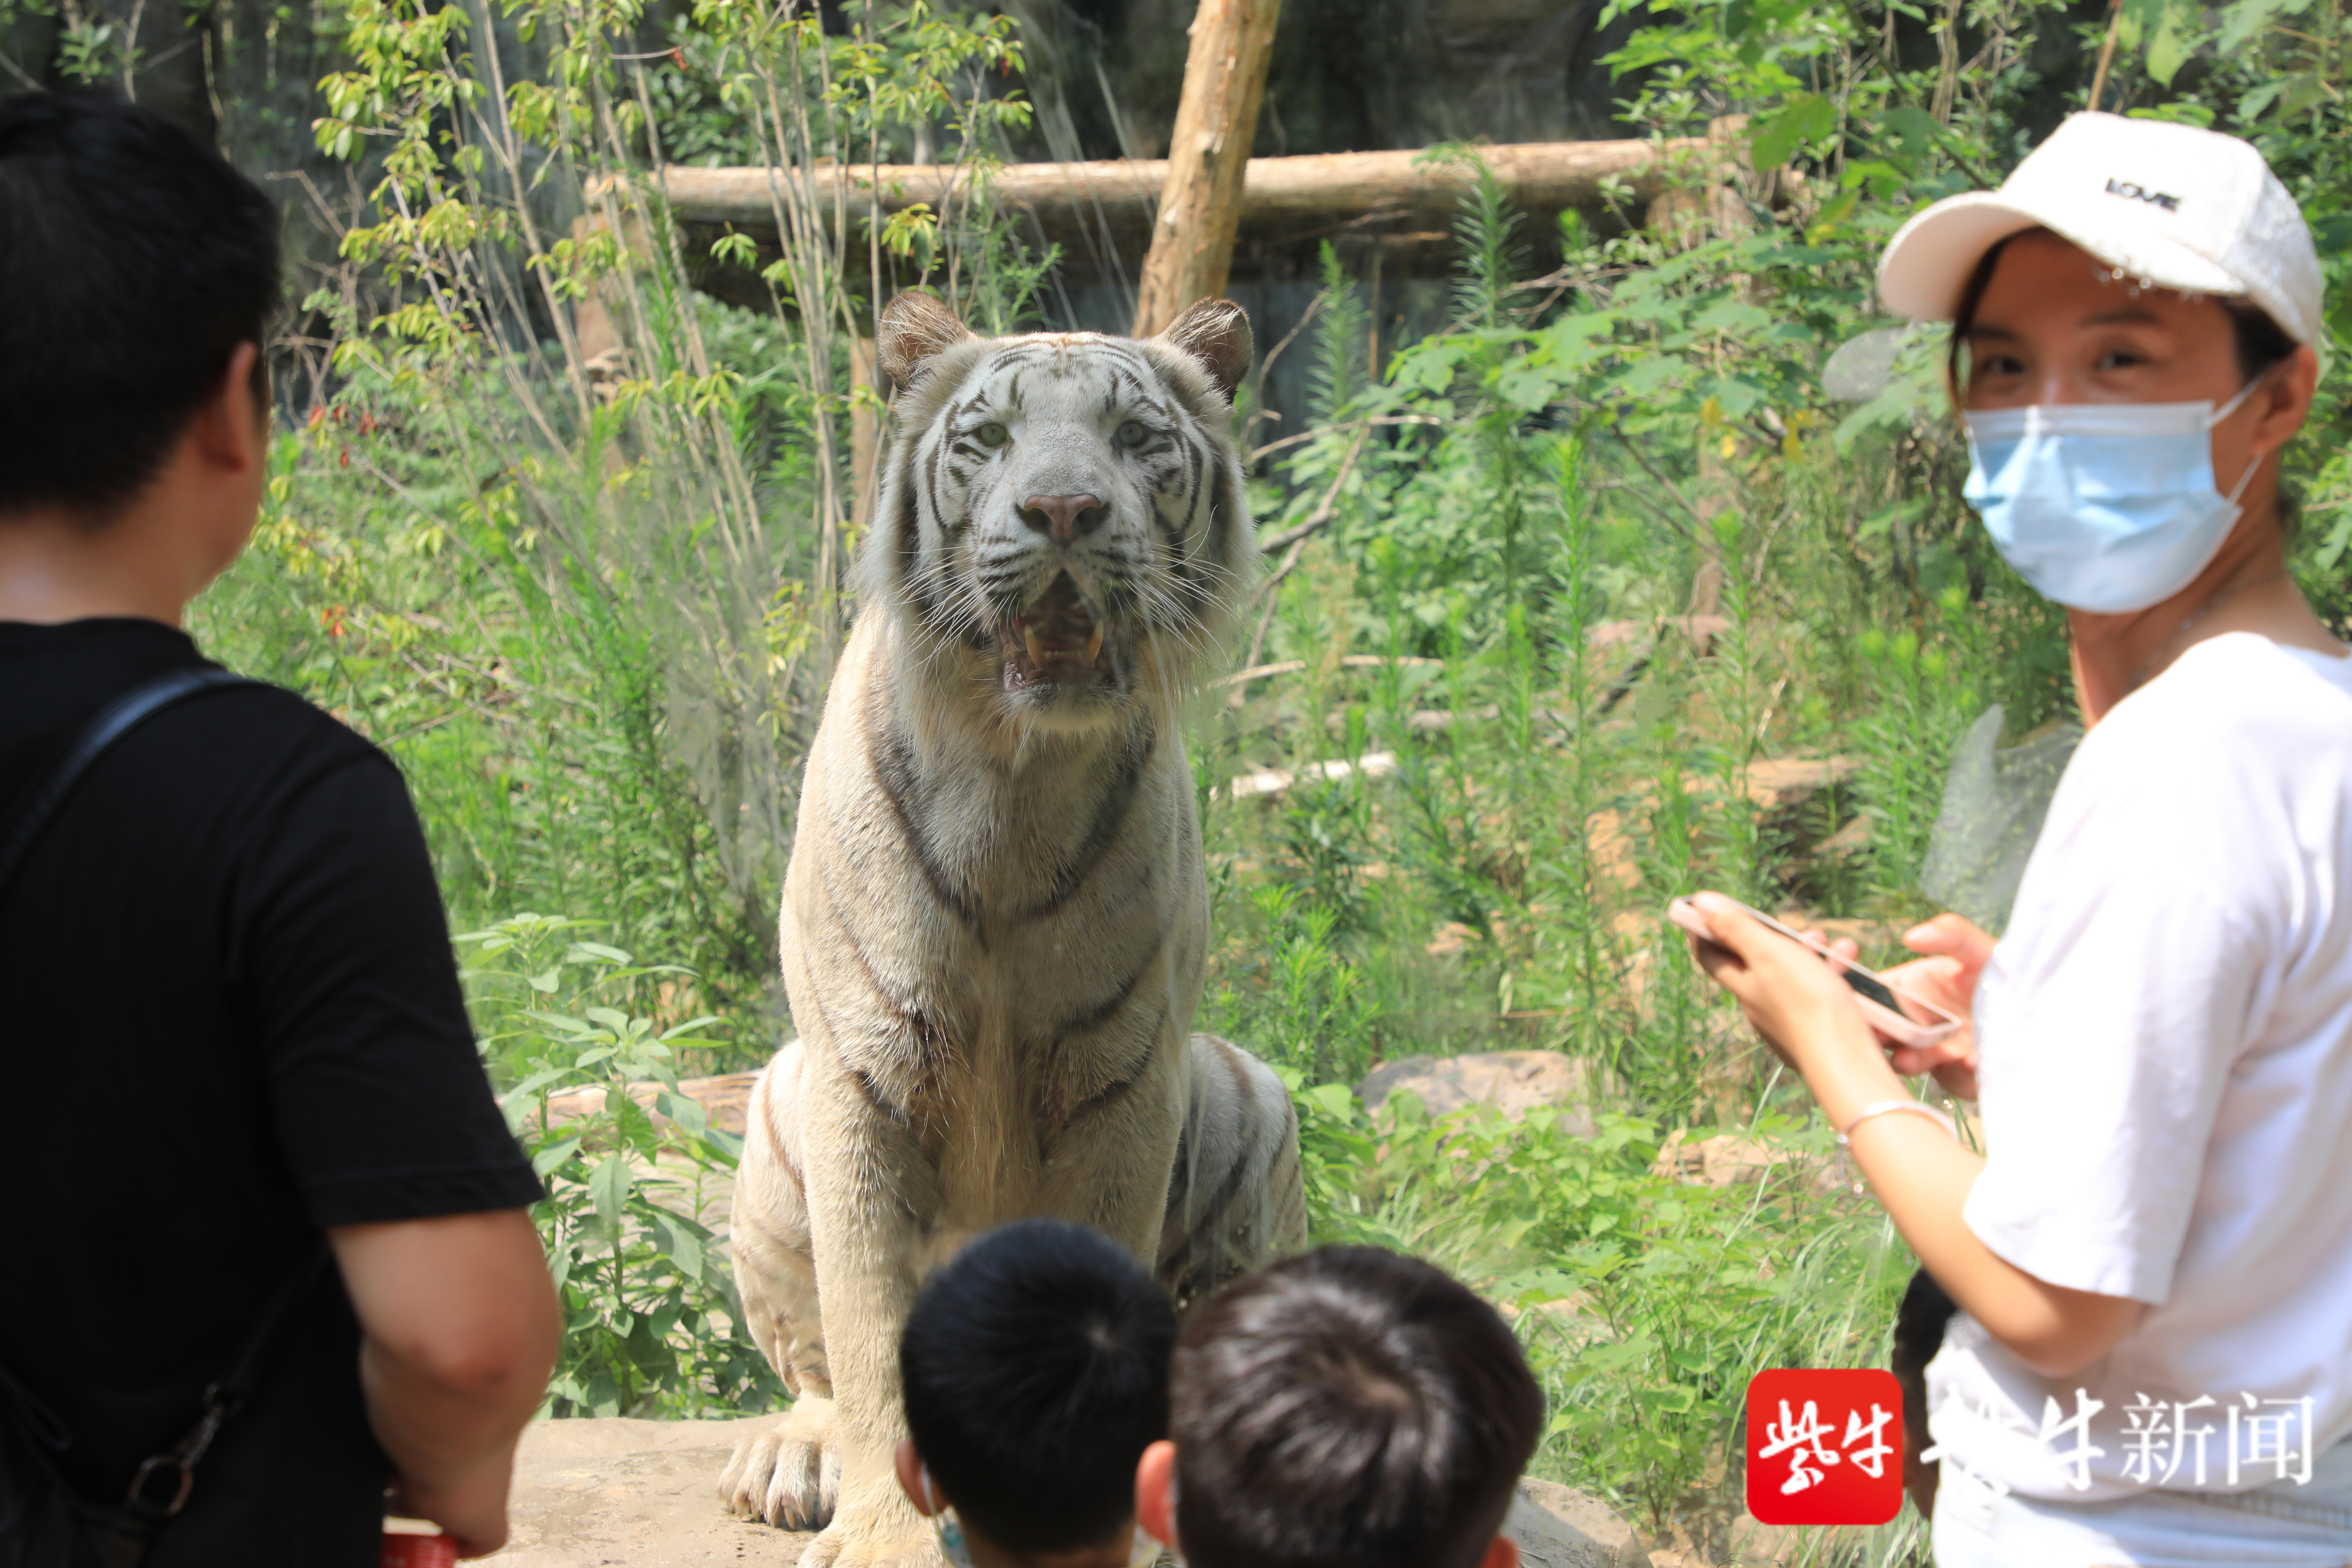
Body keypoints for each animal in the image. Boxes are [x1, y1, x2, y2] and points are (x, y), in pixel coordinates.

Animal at [720, 288, 1308, 1561]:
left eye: (1135, 441)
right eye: (988, 441)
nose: (1065, 510)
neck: (1015, 779)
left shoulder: (1126, 1081)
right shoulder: (860, 1081)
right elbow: (865, 1336)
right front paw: (882, 1537)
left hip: (1246, 1089)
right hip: (775, 1105)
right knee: (813, 1370)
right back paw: (793, 1461)